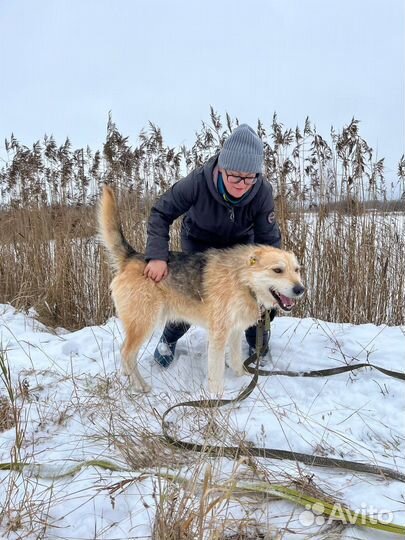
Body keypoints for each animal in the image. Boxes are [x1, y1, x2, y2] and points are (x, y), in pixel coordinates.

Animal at [96, 188, 302, 394]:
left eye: (297, 270)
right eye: (277, 270)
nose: (300, 289)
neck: (243, 282)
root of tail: (131, 257)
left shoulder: (235, 331)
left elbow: (236, 361)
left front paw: (243, 381)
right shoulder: (219, 335)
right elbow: (216, 372)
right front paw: (217, 396)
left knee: (125, 353)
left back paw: (129, 377)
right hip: (144, 322)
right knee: (126, 353)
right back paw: (141, 385)